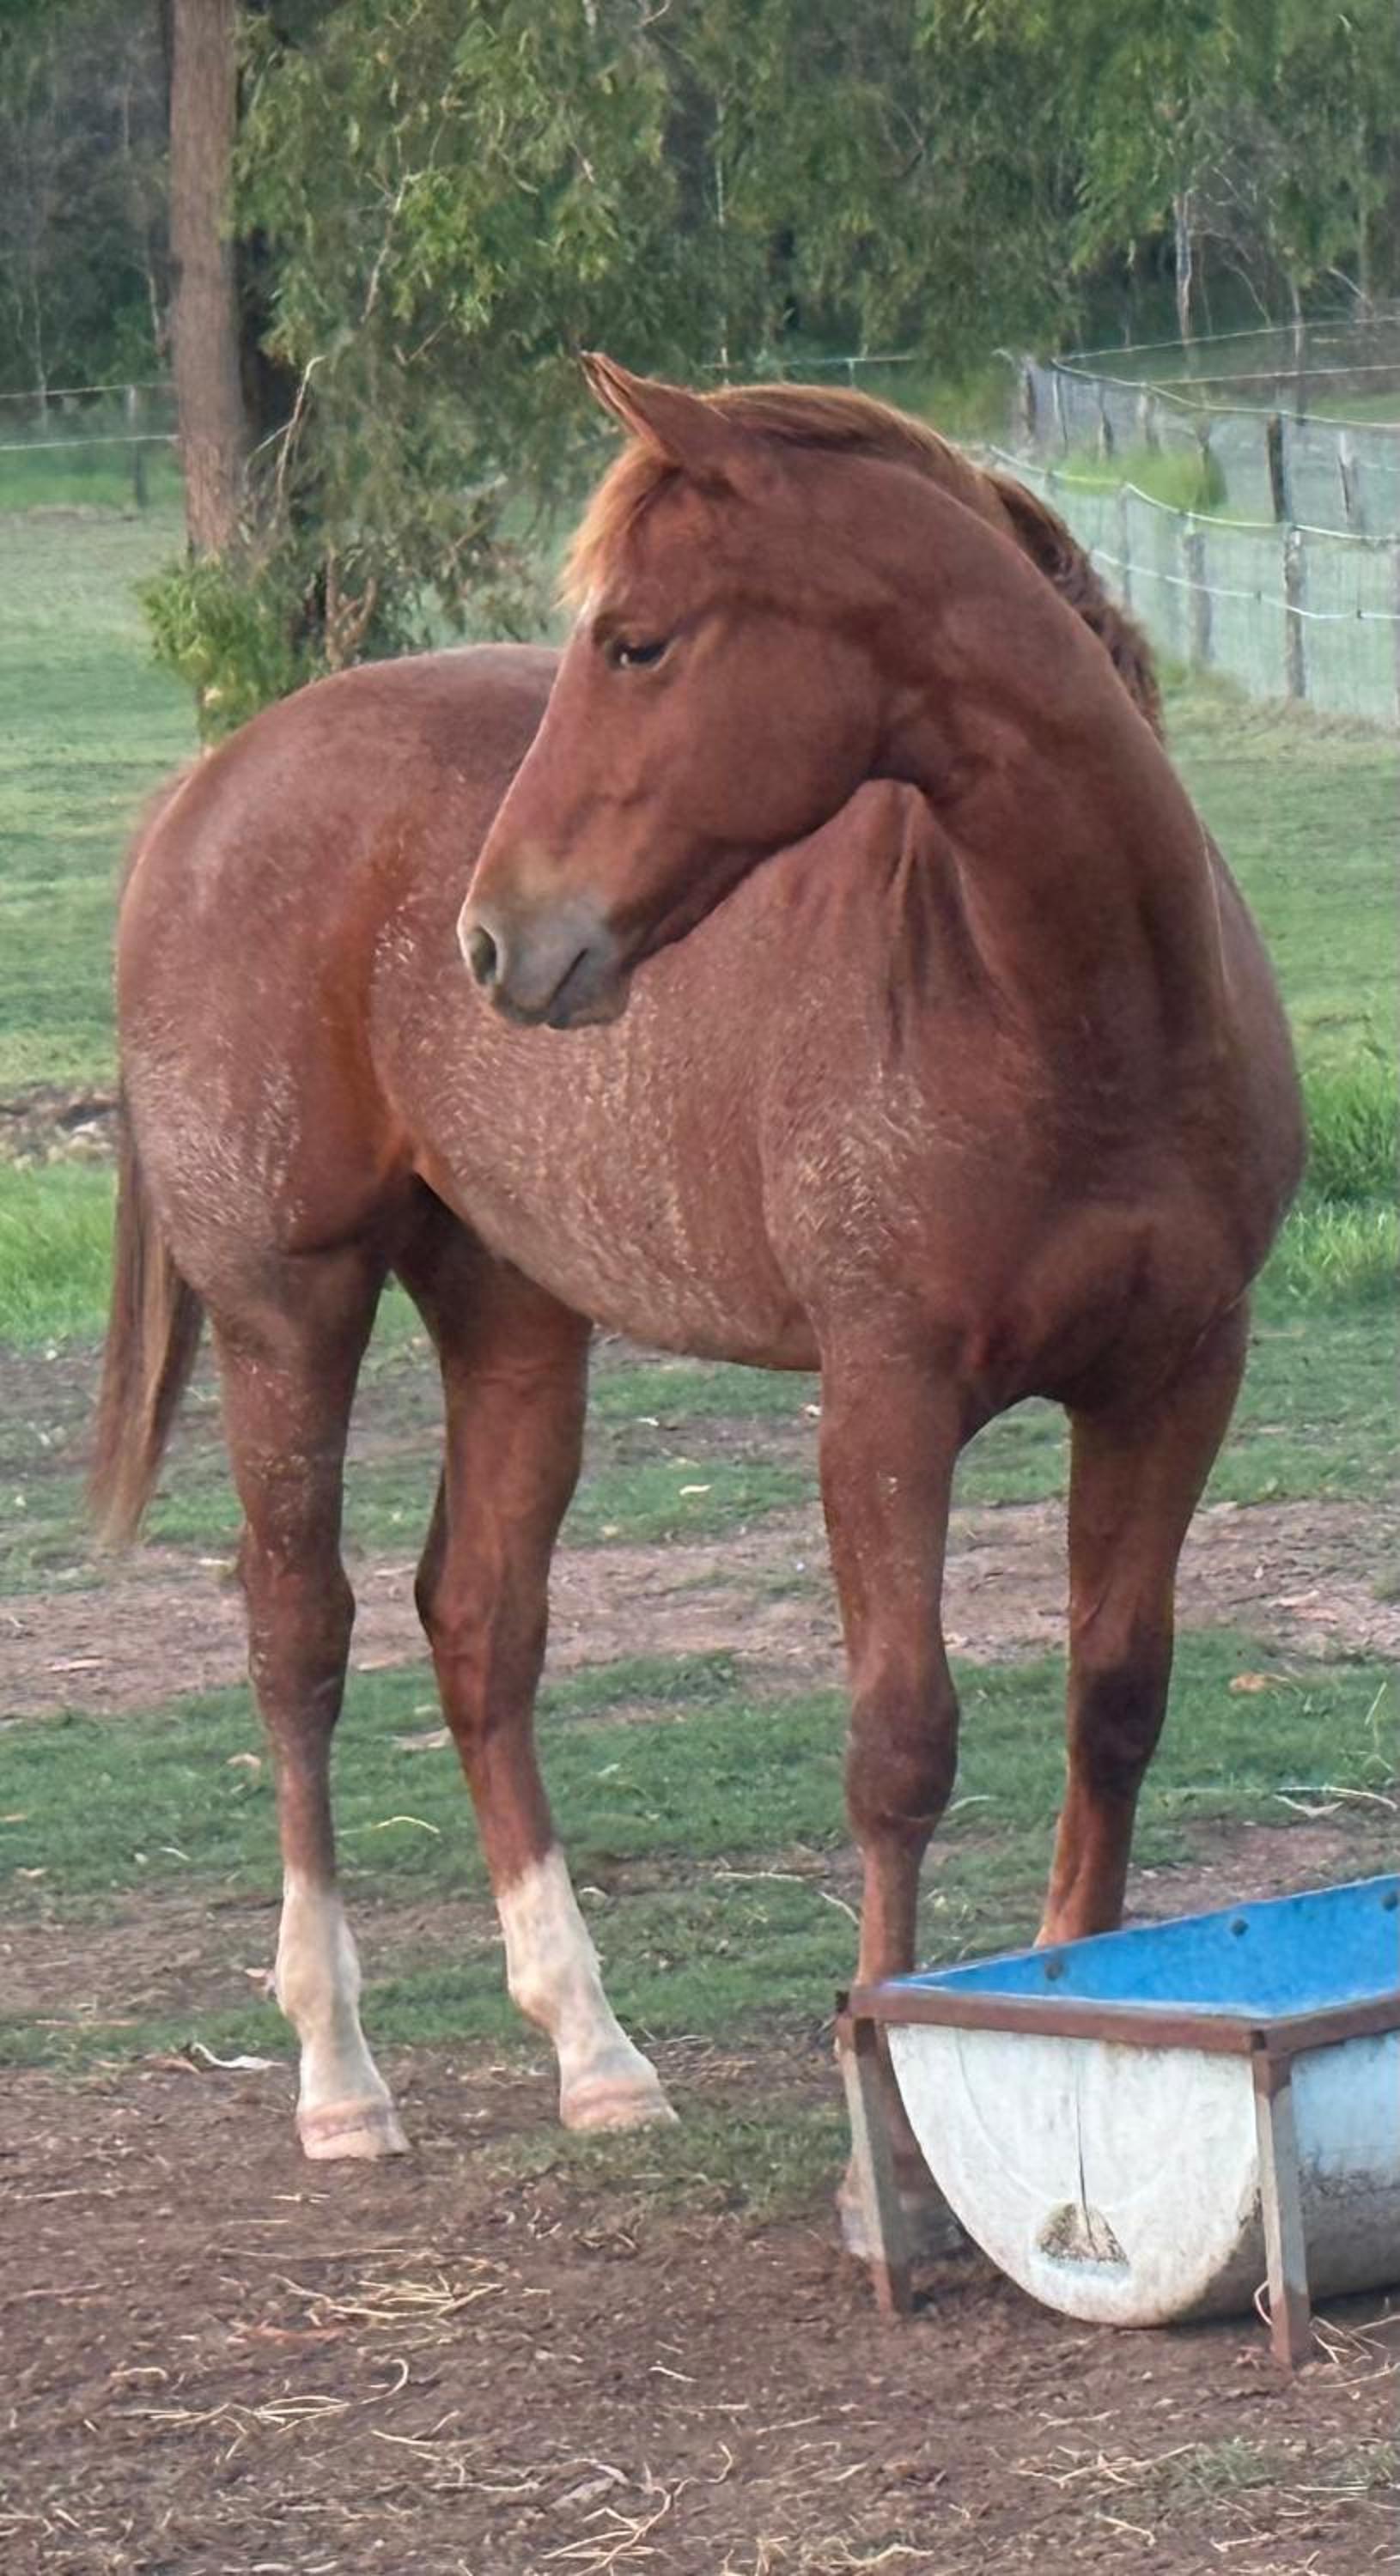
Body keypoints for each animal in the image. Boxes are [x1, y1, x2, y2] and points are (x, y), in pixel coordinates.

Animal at [93, 363, 1302, 2250]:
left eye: (638, 644)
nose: (499, 941)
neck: (1064, 998)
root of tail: (215, 782)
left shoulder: (1177, 1378)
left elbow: (1113, 1707)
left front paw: (1071, 2044)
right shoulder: (883, 1401)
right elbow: (899, 1746)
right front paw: (885, 2155)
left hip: (514, 1315)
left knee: (481, 1629)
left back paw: (593, 2054)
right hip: (291, 1310)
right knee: (300, 1637)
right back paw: (339, 2079)